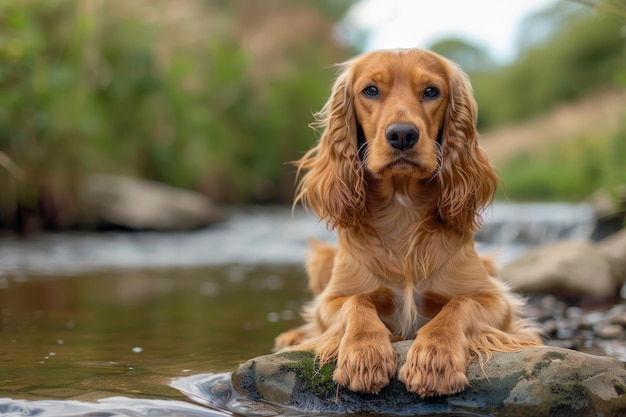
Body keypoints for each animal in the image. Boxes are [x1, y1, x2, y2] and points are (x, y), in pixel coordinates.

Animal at [274, 48, 540, 396]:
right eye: (371, 90)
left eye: (431, 91)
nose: (402, 134)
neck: (401, 208)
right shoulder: (332, 299)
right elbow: (355, 303)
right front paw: (364, 353)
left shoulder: (496, 300)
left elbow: (460, 304)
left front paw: (435, 358)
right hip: (321, 259)